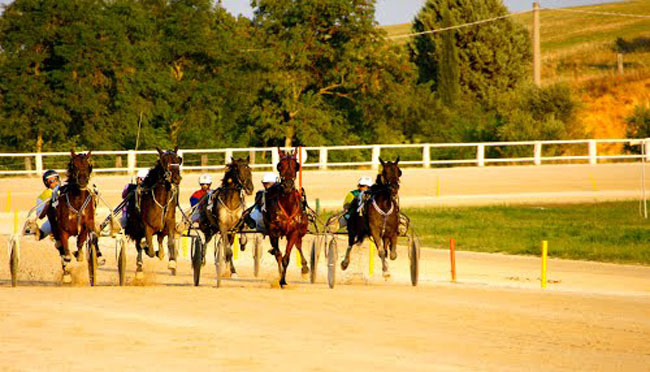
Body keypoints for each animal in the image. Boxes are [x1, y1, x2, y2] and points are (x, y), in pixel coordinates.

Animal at [46, 150, 99, 284]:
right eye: (74, 165)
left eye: (88, 165)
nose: (82, 181)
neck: (77, 202)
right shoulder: (62, 230)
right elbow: (66, 254)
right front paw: (67, 273)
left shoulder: (87, 225)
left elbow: (81, 241)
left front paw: (79, 254)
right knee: (60, 249)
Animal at [124, 147, 182, 276]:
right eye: (164, 161)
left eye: (178, 160)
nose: (176, 178)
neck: (161, 202)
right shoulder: (147, 228)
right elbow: (149, 250)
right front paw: (147, 248)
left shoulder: (169, 223)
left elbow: (170, 241)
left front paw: (172, 262)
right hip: (136, 229)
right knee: (138, 245)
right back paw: (139, 268)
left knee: (159, 239)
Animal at [260, 149, 308, 288]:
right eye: (279, 165)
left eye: (296, 166)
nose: (287, 185)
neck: (287, 205)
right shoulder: (273, 232)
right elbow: (278, 255)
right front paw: (280, 277)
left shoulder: (294, 232)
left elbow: (286, 257)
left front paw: (283, 280)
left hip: (301, 229)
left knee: (299, 245)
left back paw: (305, 268)